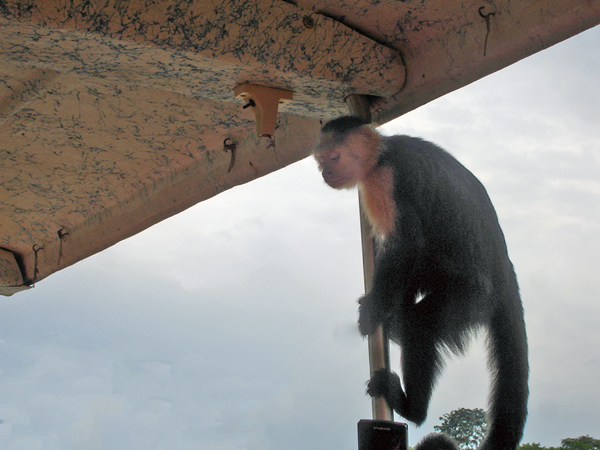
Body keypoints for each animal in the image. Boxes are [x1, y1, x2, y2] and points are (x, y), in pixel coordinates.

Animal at [312, 116, 528, 450]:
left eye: (332, 159)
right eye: (321, 162)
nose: (325, 173)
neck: (383, 154)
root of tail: (505, 268)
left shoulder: (386, 178)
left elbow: (407, 243)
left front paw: (373, 309)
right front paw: (378, 304)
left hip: (472, 297)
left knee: (419, 324)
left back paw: (411, 407)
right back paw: (394, 316)